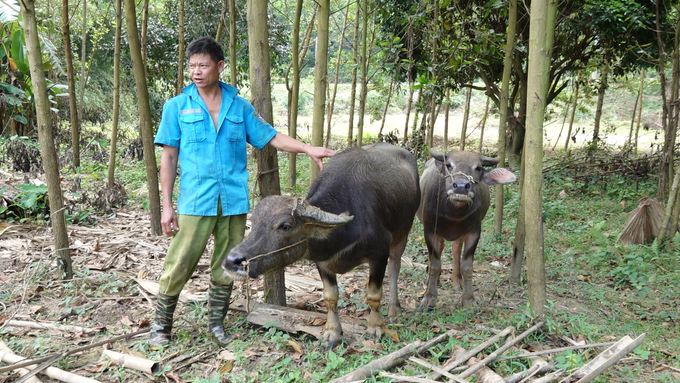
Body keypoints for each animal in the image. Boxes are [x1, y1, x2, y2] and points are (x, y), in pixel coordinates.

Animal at [224, 143, 420, 348]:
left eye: (285, 226)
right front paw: (332, 333)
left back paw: (394, 307)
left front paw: (376, 327)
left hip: (403, 233)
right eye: (253, 222)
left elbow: (373, 295)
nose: (232, 261)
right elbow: (330, 297)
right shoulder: (322, 262)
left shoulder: (379, 254)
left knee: (395, 265)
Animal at [418, 150, 516, 312]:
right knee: (439, 252)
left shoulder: (474, 232)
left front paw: (469, 299)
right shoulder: (430, 230)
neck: (453, 214)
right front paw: (429, 297)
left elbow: (467, 267)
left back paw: (457, 282)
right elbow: (435, 265)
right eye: (449, 165)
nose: (461, 186)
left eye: (478, 168)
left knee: (456, 250)